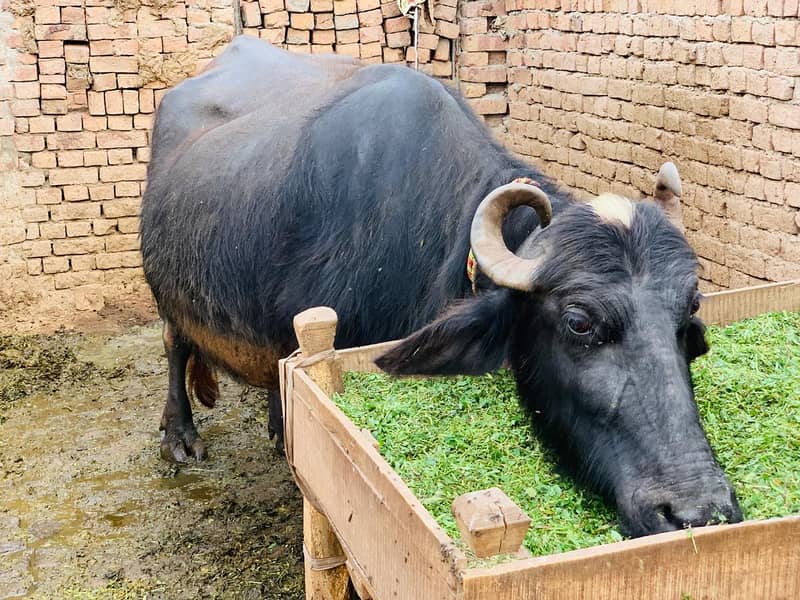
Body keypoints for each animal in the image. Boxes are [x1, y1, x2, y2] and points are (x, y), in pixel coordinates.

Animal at [140, 36, 742, 537]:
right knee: (173, 346)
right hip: (167, 293)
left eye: (688, 312)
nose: (696, 512)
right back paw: (180, 437)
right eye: (579, 322)